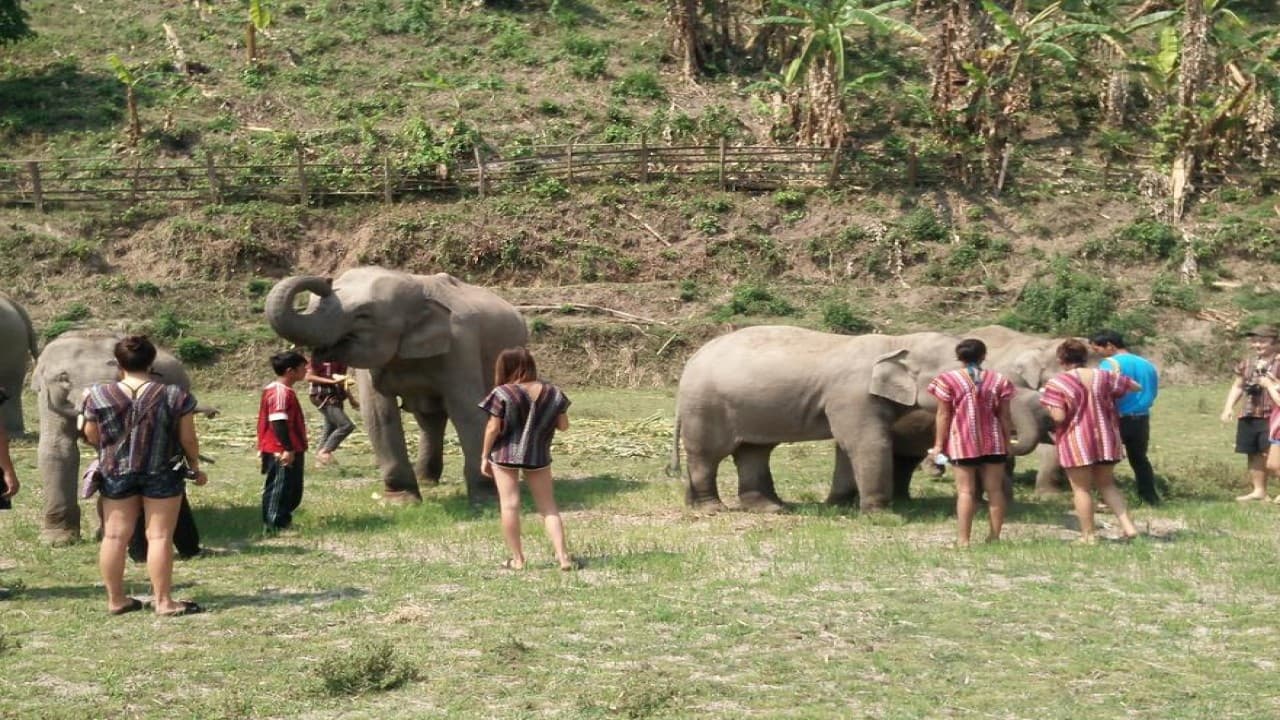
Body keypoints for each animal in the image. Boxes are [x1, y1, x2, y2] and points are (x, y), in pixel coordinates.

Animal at [264, 267, 528, 504]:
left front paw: (486, 499)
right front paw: (400, 501)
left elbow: (467, 411)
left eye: (363, 315)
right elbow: (379, 414)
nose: (326, 280)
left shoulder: (460, 347)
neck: (417, 288)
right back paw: (426, 480)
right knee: (430, 418)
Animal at [671, 326, 1046, 512]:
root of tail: (690, 363)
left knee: (753, 451)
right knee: (708, 455)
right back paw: (712, 509)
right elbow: (867, 442)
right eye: (967, 370)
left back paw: (769, 508)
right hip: (706, 407)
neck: (897, 342)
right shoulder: (853, 395)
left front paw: (839, 506)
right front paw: (881, 514)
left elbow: (846, 447)